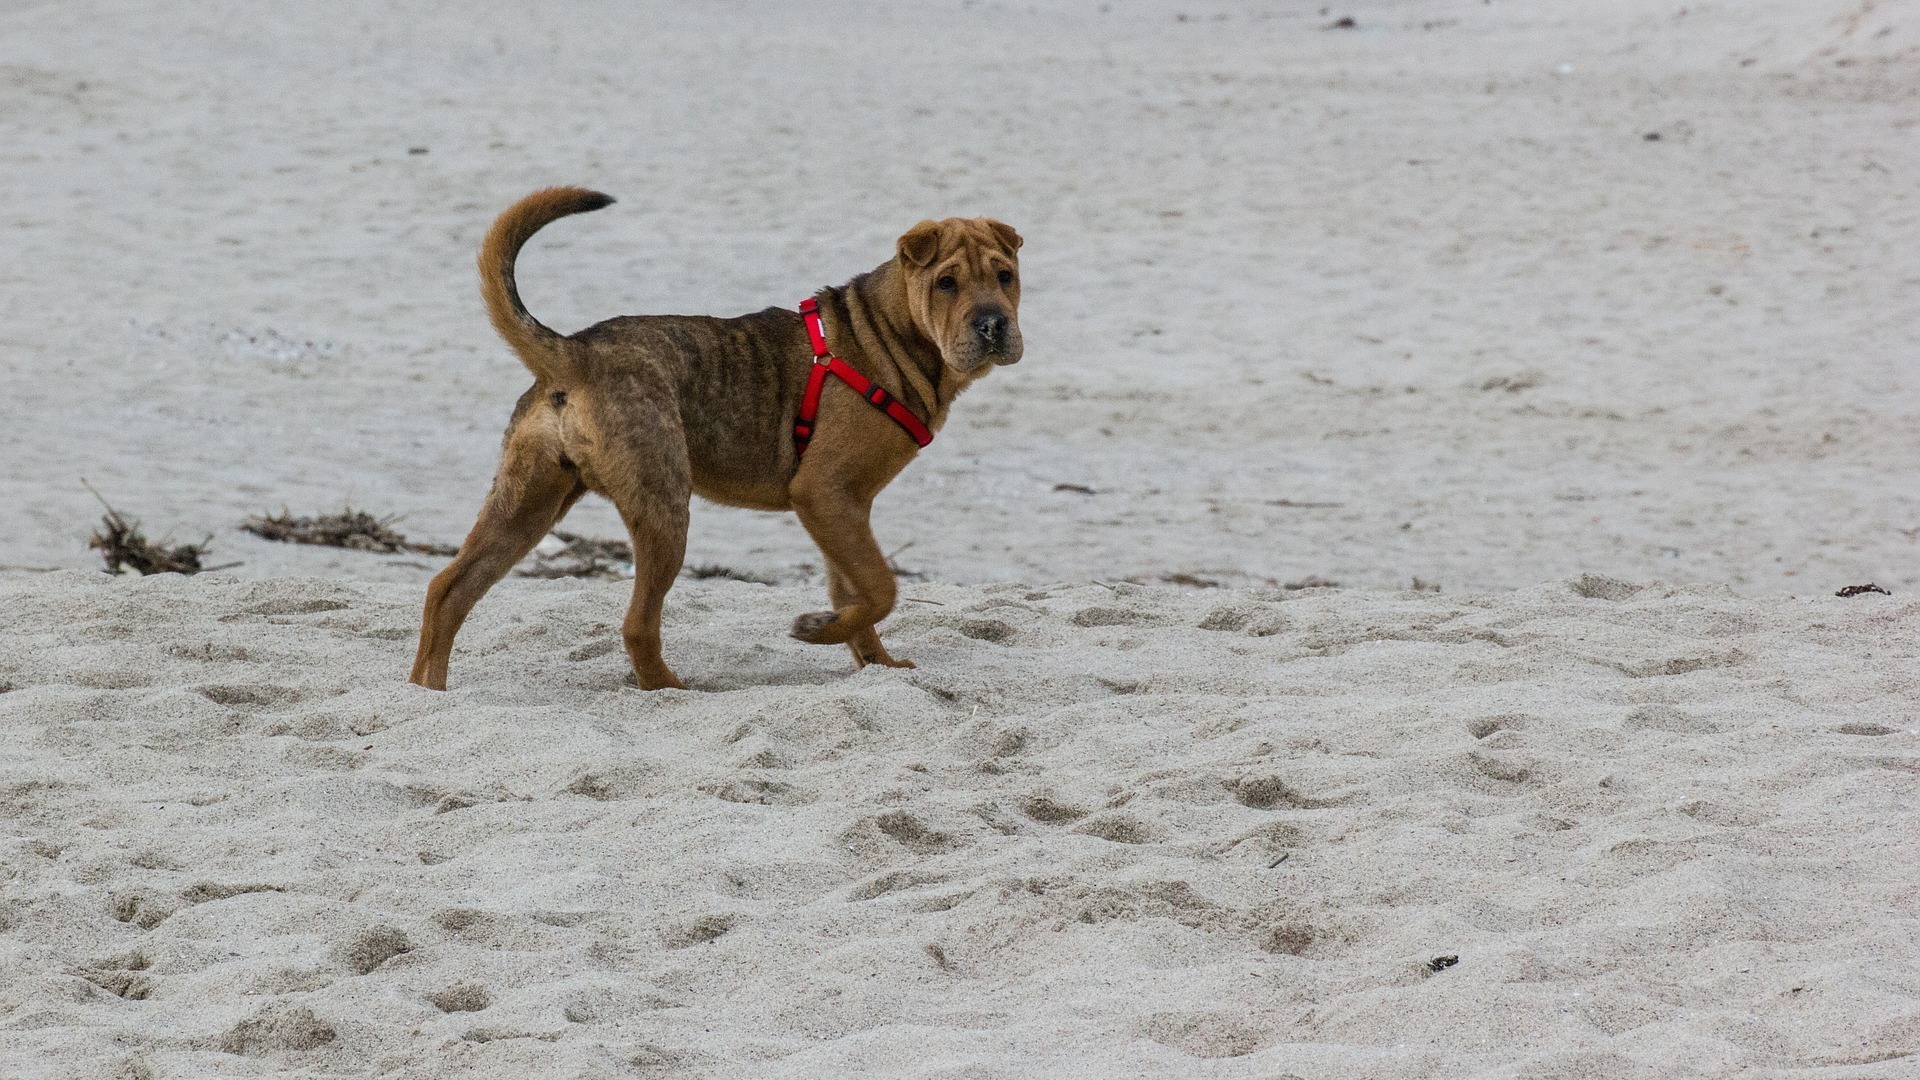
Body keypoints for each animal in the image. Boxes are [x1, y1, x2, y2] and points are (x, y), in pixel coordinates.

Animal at [408, 188, 1021, 684]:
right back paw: (673, 691)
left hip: (526, 503)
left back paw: (427, 692)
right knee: (637, 625)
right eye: (946, 283)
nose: (993, 324)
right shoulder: (825, 493)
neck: (889, 335)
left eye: (1005, 276)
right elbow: (881, 588)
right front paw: (821, 631)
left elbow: (858, 593)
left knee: (447, 590)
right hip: (662, 509)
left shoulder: (844, 508)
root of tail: (576, 354)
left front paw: (873, 661)